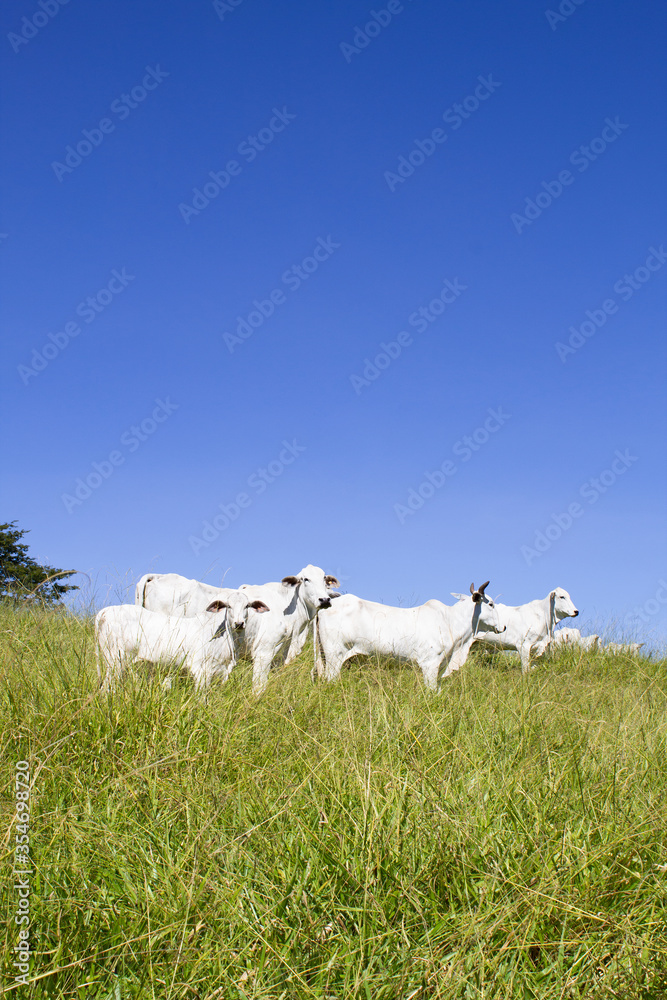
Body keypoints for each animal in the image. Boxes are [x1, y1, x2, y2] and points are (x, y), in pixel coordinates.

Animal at [96, 591, 269, 692]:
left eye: (247, 606)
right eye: (228, 606)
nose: (239, 623)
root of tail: (105, 611)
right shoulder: (201, 670)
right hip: (115, 661)